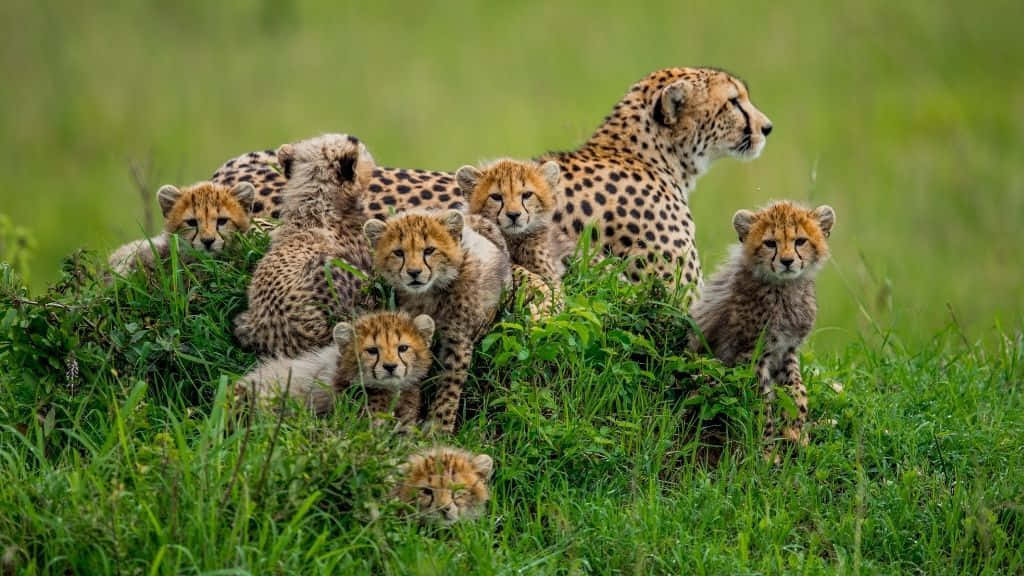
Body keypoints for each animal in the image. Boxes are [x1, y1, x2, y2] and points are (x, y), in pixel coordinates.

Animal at [363, 209, 511, 434]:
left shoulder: (458, 340)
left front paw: (438, 428)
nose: (414, 273)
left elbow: (450, 385)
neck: (428, 294)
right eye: (398, 253)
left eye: (429, 250)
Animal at [688, 201, 835, 449]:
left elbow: (797, 388)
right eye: (770, 243)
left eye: (800, 241)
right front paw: (766, 449)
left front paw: (795, 429)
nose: (787, 261)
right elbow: (761, 405)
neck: (784, 289)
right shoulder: (751, 356)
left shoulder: (787, 349)